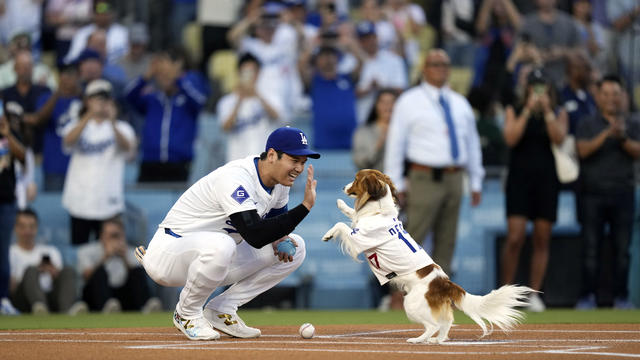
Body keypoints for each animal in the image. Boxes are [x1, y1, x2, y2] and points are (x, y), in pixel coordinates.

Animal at [322, 170, 532, 344]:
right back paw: (436, 340)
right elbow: (353, 215)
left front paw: (328, 234)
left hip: (411, 304)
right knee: (445, 324)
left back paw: (418, 339)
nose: (343, 187)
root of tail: (446, 283)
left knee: (433, 325)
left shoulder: (358, 241)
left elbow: (342, 225)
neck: (378, 210)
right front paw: (342, 205)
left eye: (356, 179)